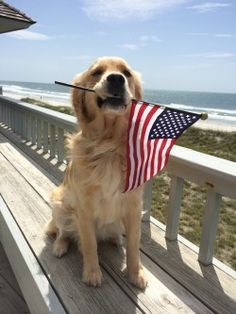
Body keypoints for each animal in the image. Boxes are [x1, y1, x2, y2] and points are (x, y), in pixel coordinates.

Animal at [46, 57, 148, 290]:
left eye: (126, 73)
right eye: (97, 72)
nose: (116, 79)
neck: (108, 145)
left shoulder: (134, 205)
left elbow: (134, 244)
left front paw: (136, 272)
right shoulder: (83, 208)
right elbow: (90, 244)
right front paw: (92, 273)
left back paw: (115, 239)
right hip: (60, 203)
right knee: (63, 231)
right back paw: (59, 246)